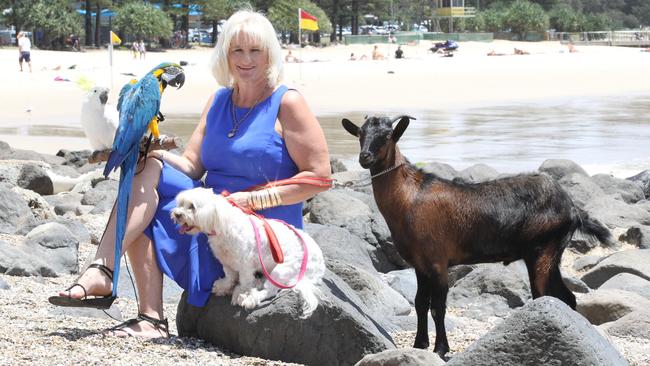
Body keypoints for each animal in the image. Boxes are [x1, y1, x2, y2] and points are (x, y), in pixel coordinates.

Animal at [171, 187, 324, 316]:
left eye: (192, 206)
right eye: (180, 204)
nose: (176, 214)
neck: (221, 222)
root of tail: (319, 267)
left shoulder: (245, 265)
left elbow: (244, 281)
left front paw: (242, 293)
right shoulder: (226, 261)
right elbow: (230, 276)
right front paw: (223, 286)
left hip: (282, 270)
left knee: (271, 291)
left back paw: (252, 297)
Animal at [342, 115, 612, 358]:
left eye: (387, 135)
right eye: (360, 134)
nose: (364, 157)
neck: (411, 197)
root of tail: (573, 209)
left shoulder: (438, 261)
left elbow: (437, 308)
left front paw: (441, 349)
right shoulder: (420, 264)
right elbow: (419, 303)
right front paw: (419, 345)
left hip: (544, 249)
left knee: (544, 294)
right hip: (549, 253)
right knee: (566, 297)